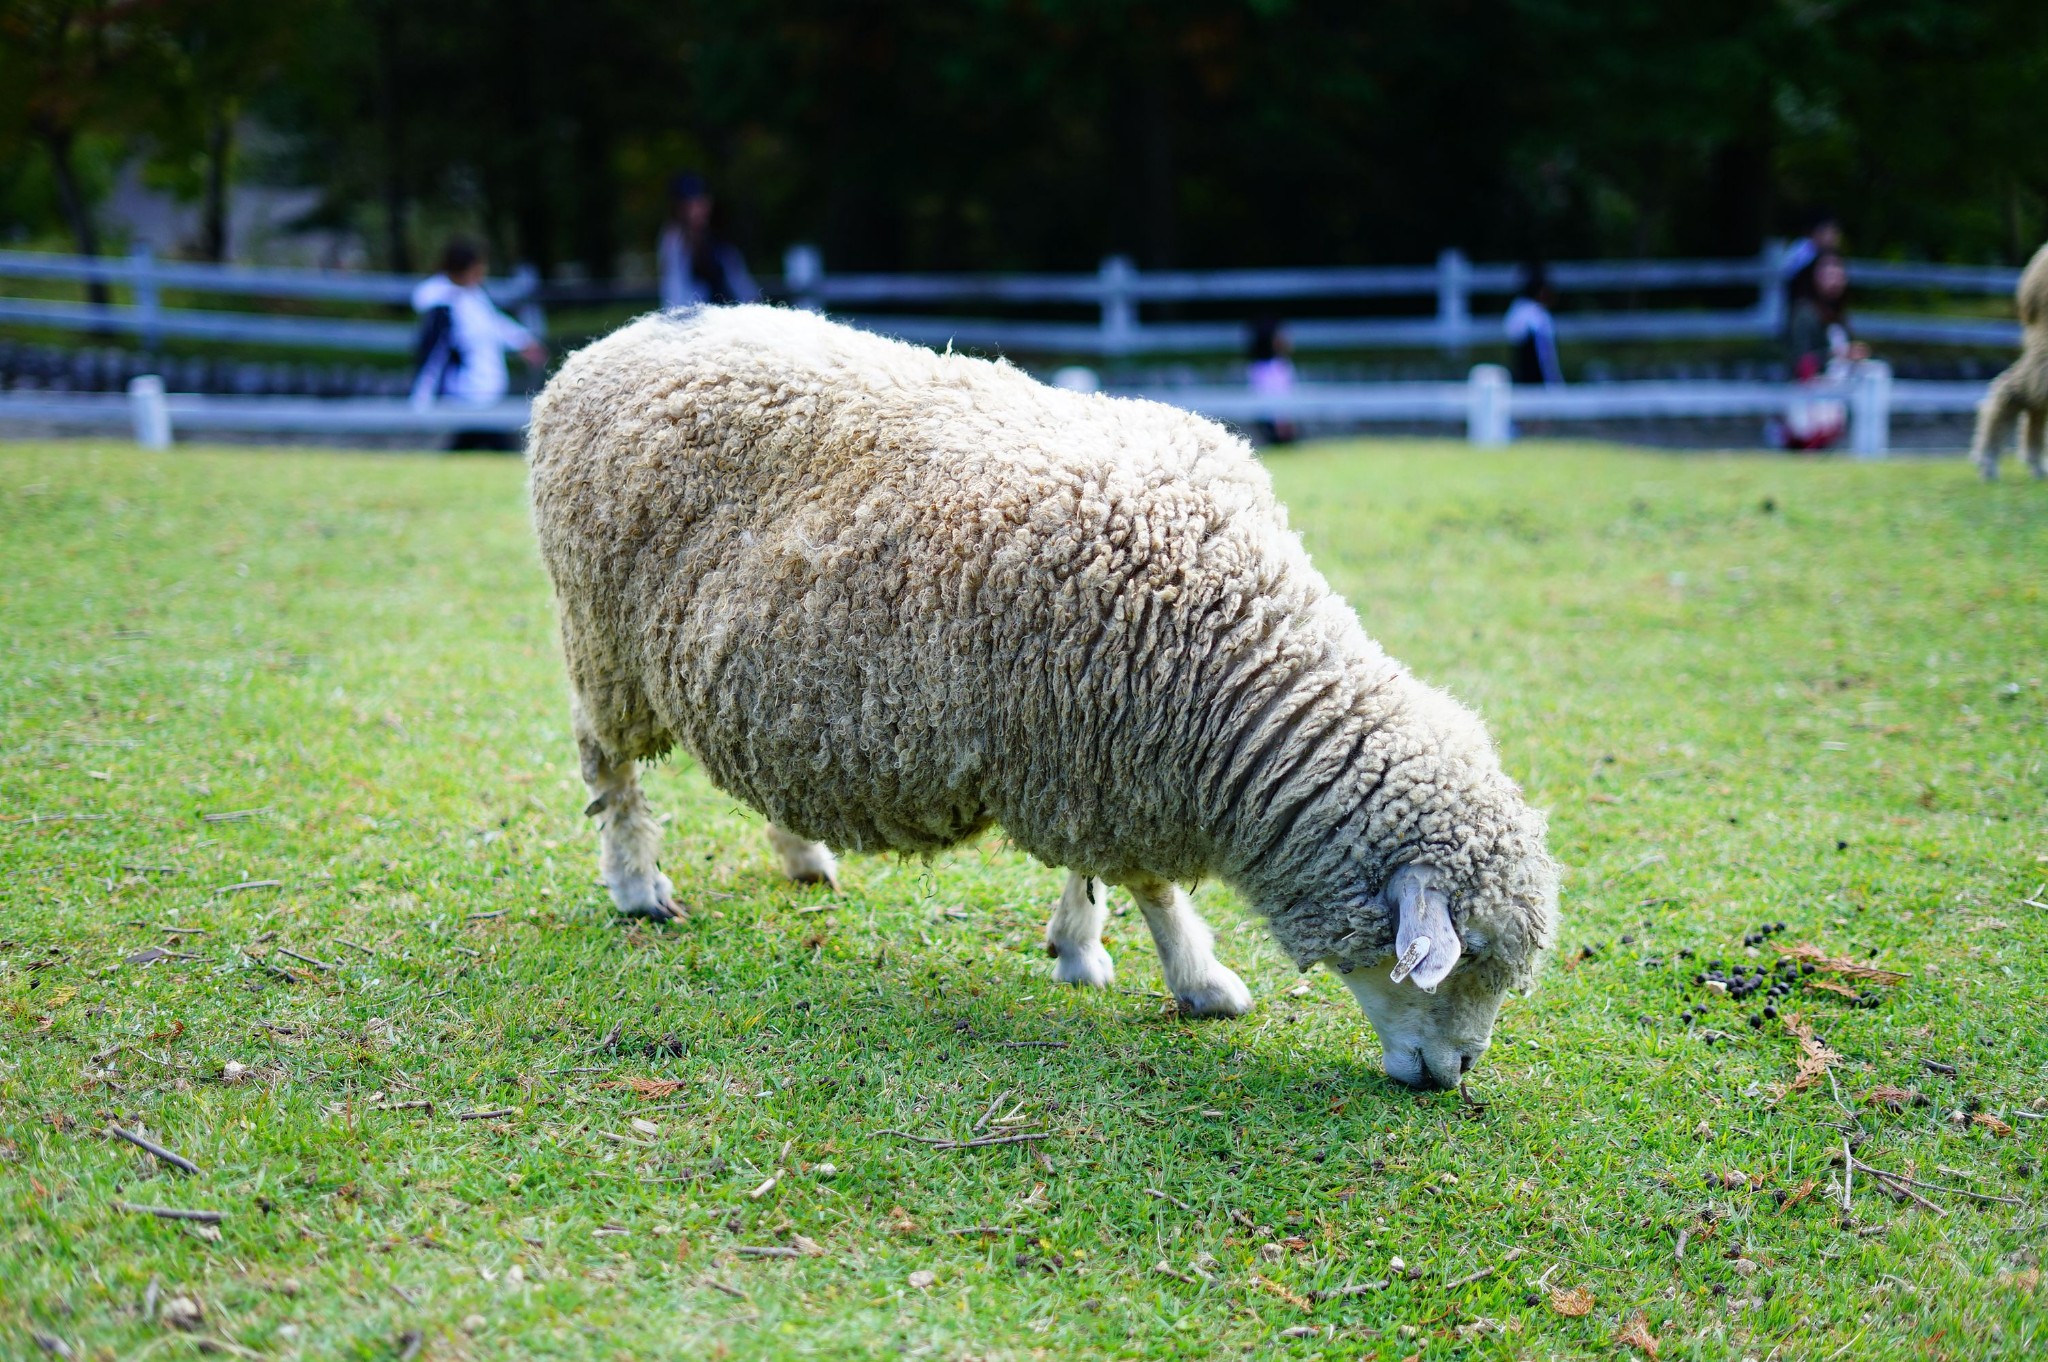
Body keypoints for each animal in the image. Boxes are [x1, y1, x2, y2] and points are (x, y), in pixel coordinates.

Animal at [524, 305, 1548, 1081]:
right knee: (607, 767)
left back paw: (803, 853)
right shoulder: (1093, 746)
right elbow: (1148, 883)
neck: (1233, 656)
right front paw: (1197, 980)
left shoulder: (1095, 748)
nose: (1455, 1075)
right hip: (601, 641)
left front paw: (1082, 946)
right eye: (1463, 961)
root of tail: (609, 342)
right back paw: (636, 886)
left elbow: (1100, 873)